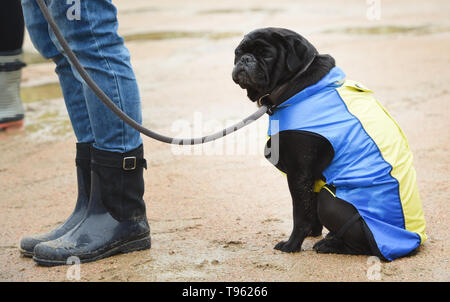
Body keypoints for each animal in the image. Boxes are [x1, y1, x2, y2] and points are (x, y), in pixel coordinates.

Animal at [232, 27, 414, 258]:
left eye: (266, 55)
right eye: (238, 52)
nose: (245, 59)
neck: (298, 86)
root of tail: (412, 241)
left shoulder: (299, 174)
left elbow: (300, 214)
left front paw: (292, 245)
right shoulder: (312, 177)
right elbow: (309, 209)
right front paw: (312, 232)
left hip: (331, 202)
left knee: (364, 246)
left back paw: (331, 245)